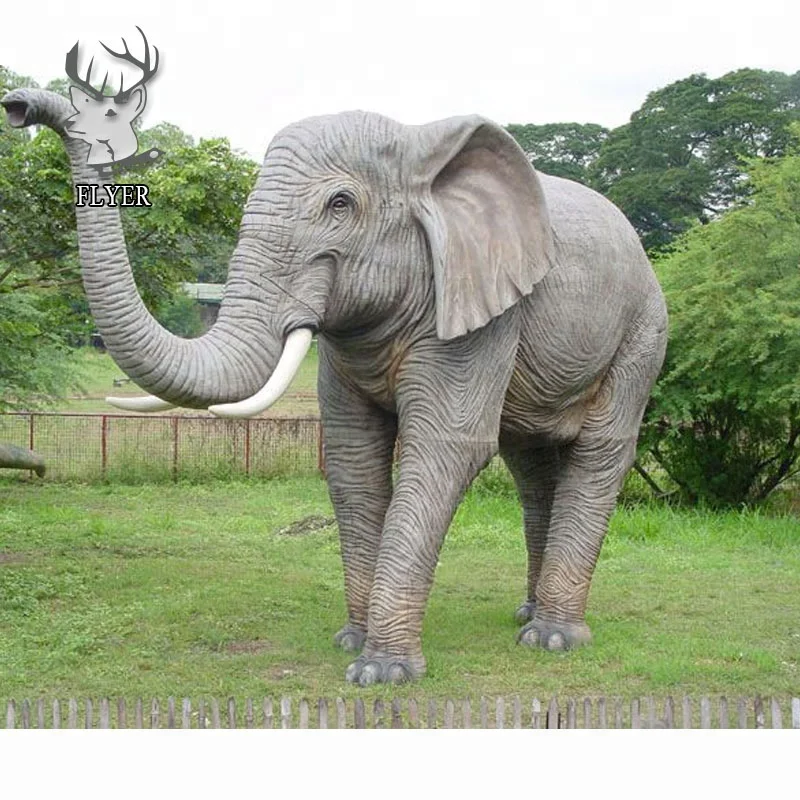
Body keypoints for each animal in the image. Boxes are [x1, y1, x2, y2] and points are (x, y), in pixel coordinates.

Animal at [2, 88, 667, 685]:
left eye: (340, 204)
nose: (20, 106)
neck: (421, 148)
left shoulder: (483, 309)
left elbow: (445, 449)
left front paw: (381, 672)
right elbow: (353, 455)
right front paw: (352, 640)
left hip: (643, 332)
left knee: (599, 452)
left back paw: (552, 639)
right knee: (529, 465)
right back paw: (526, 618)